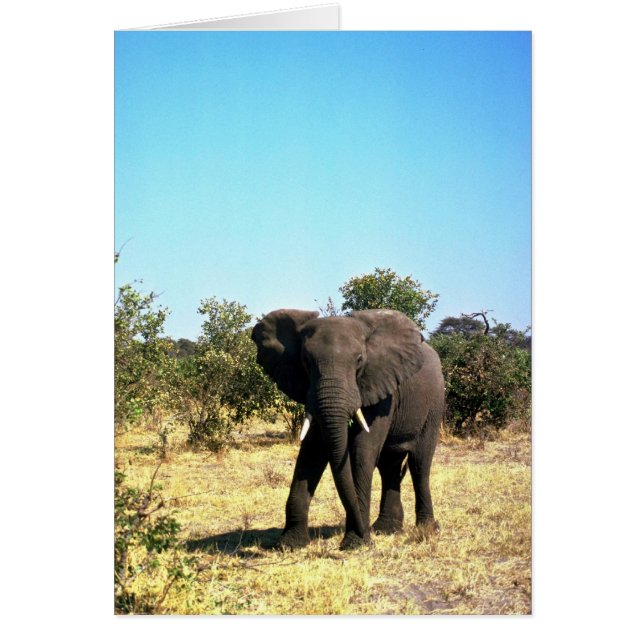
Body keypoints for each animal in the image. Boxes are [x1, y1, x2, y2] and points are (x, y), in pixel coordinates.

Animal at [251, 308, 445, 550]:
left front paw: (355, 544)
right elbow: (311, 451)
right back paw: (386, 530)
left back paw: (426, 530)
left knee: (419, 464)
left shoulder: (381, 390)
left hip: (434, 405)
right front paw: (290, 544)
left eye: (359, 360)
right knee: (389, 466)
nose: (365, 537)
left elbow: (362, 450)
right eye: (306, 361)